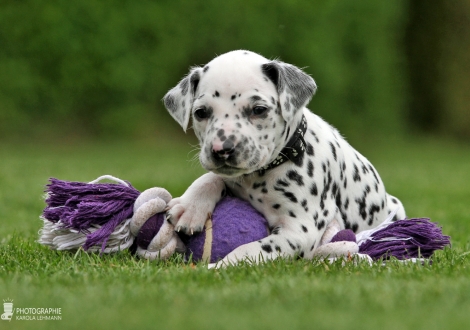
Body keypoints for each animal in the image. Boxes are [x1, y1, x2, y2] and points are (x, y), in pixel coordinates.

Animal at [162, 51, 404, 266]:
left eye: (259, 109)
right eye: (201, 112)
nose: (222, 149)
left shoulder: (298, 232)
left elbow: (248, 249)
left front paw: (217, 268)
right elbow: (211, 177)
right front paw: (190, 207)